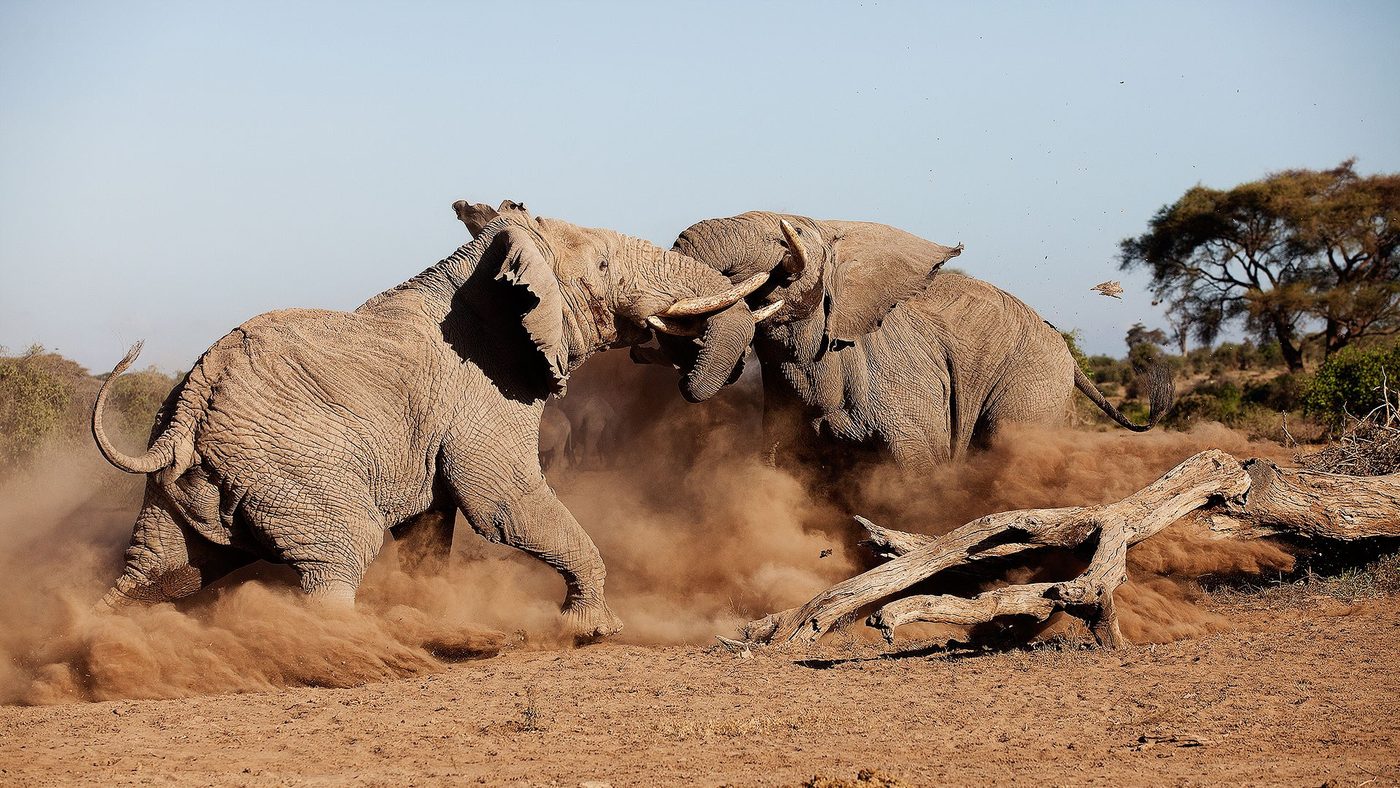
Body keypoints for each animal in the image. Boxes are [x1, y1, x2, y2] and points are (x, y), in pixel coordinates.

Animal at [90, 199, 776, 641]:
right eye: (605, 267)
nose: (681, 375)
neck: (484, 272)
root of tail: (190, 404)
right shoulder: (482, 396)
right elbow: (503, 505)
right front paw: (593, 630)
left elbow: (432, 526)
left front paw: (431, 606)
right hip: (294, 467)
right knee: (342, 553)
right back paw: (351, 647)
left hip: (185, 485)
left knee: (163, 572)